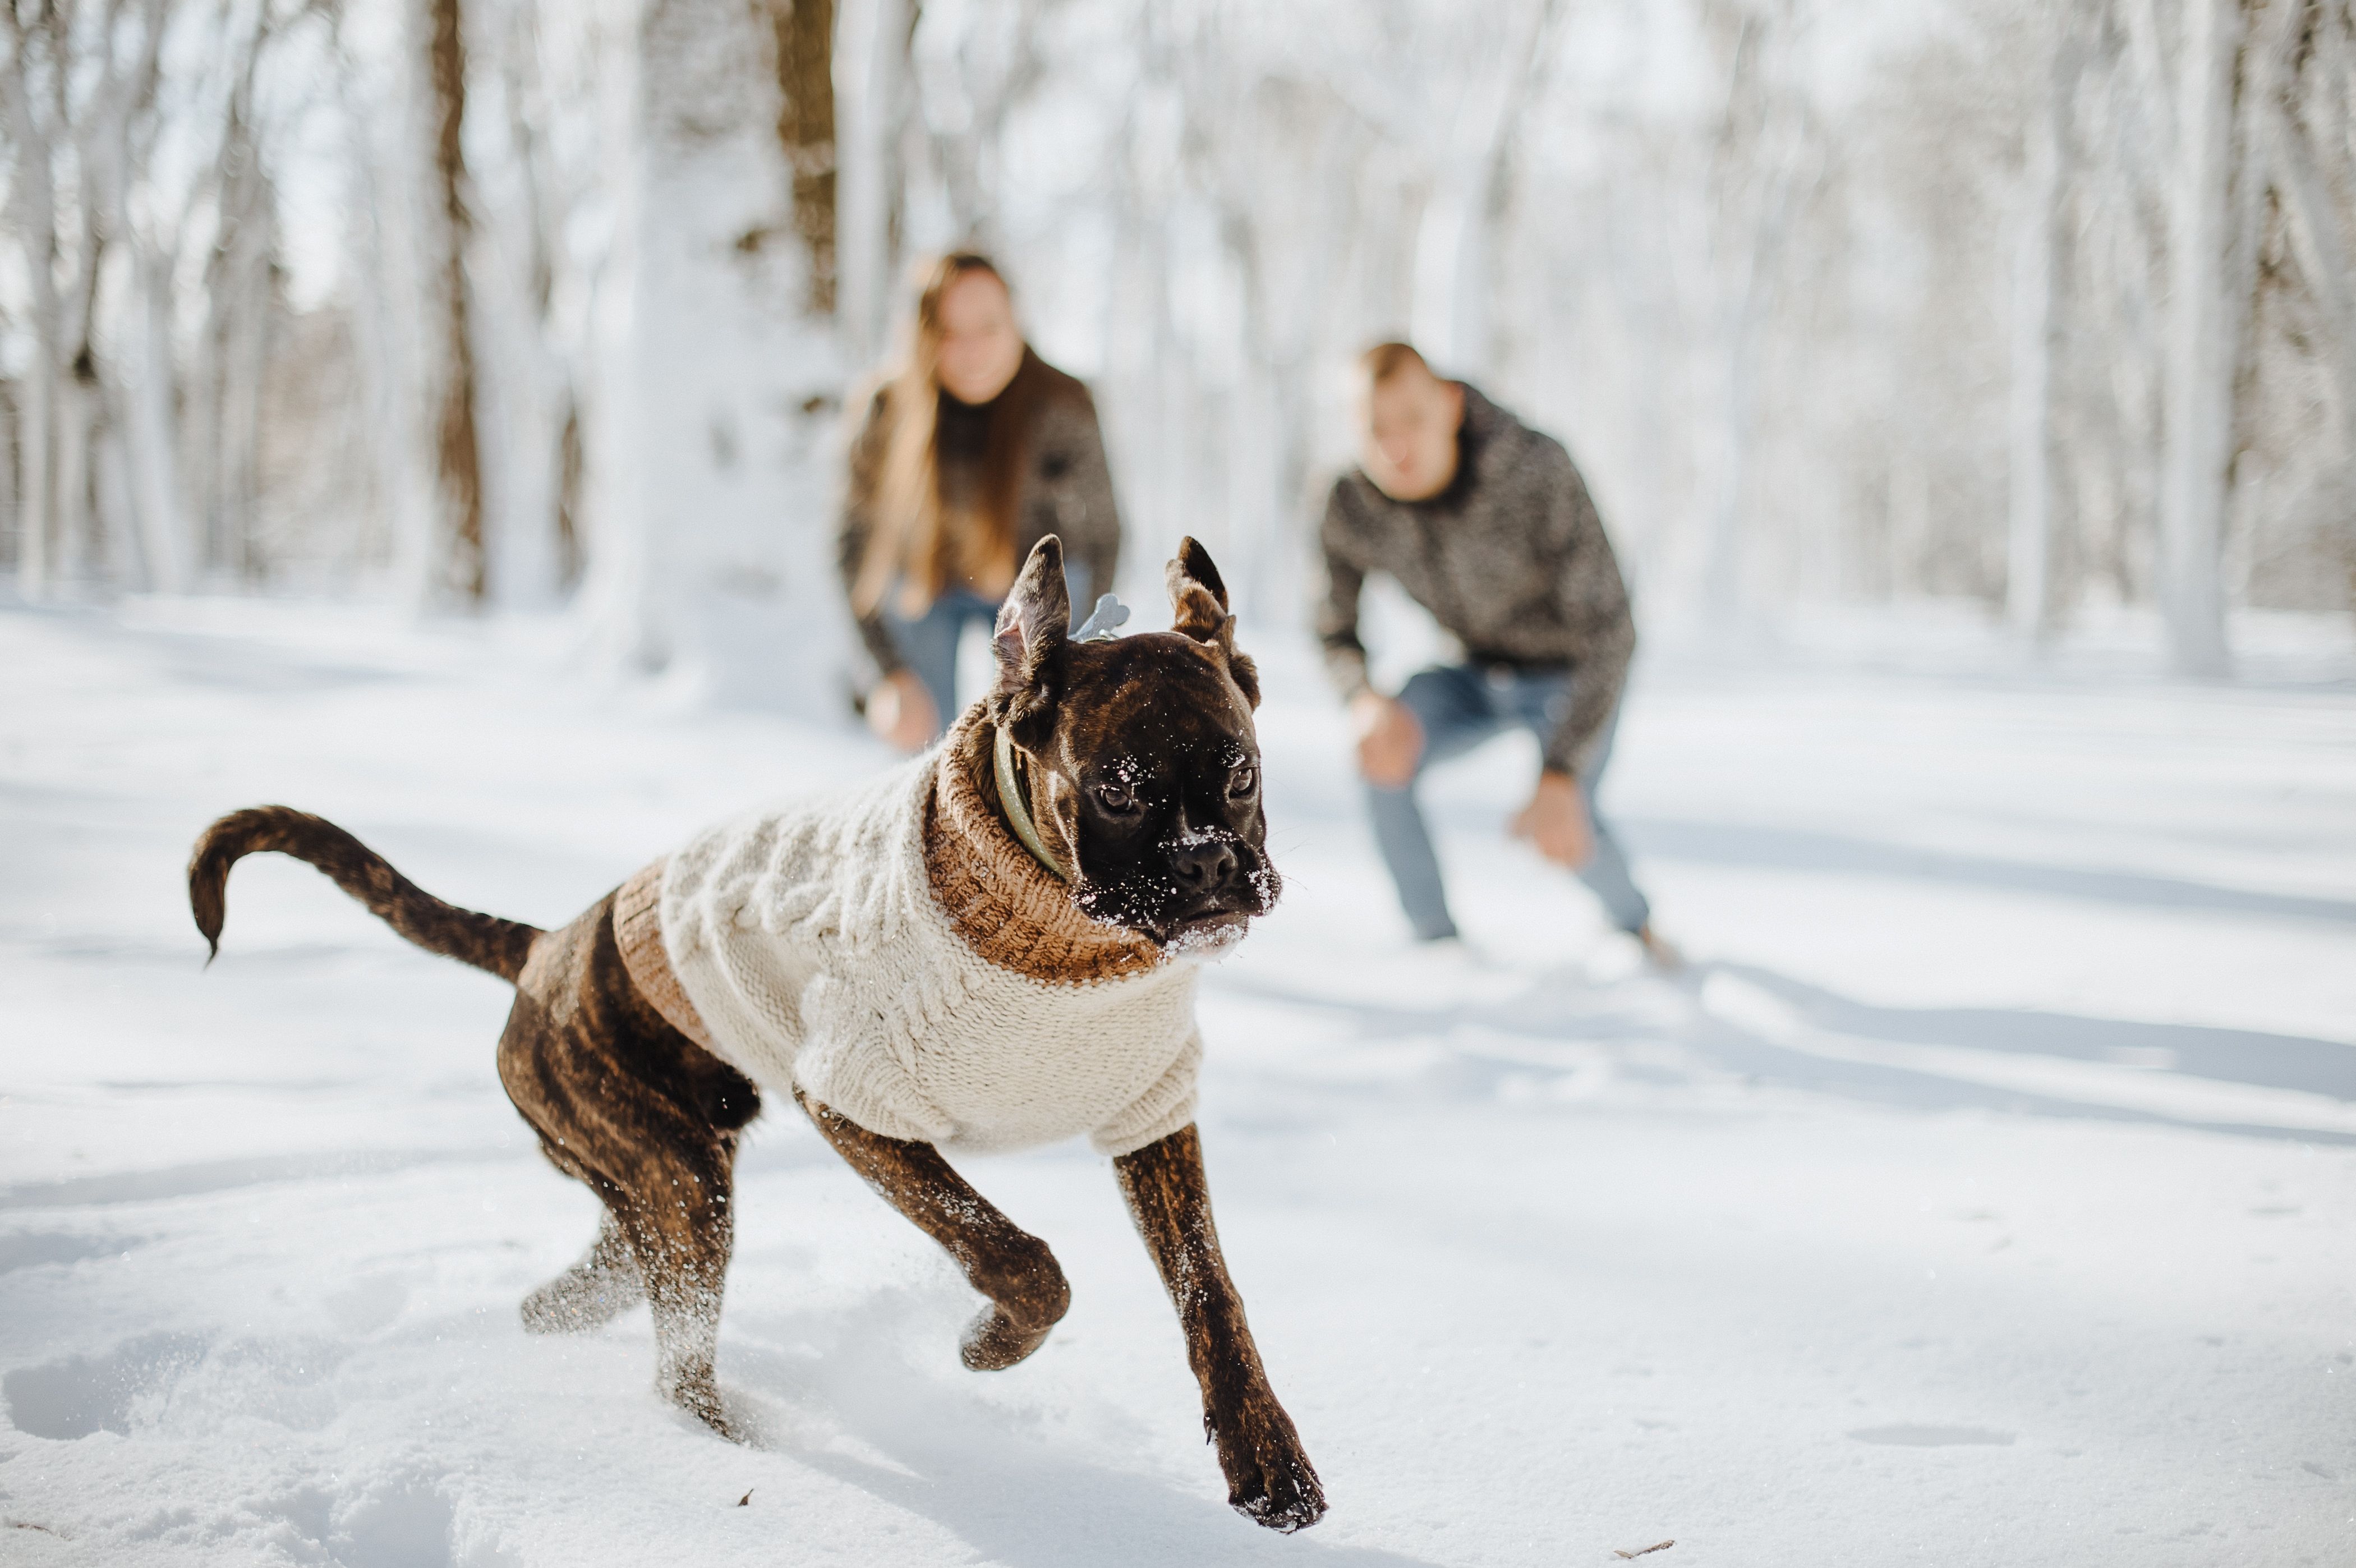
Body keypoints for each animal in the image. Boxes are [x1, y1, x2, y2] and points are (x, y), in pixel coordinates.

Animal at [183, 535, 1328, 1528]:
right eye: (1120, 789)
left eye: (1242, 774)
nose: (1210, 863)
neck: (1049, 931)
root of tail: (549, 946)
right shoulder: (859, 1108)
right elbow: (1019, 1255)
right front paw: (989, 1346)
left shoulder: (1151, 1119)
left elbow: (1211, 1294)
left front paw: (1268, 1461)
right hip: (685, 1184)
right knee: (677, 1357)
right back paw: (730, 1456)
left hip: (657, 1189)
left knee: (594, 1289)